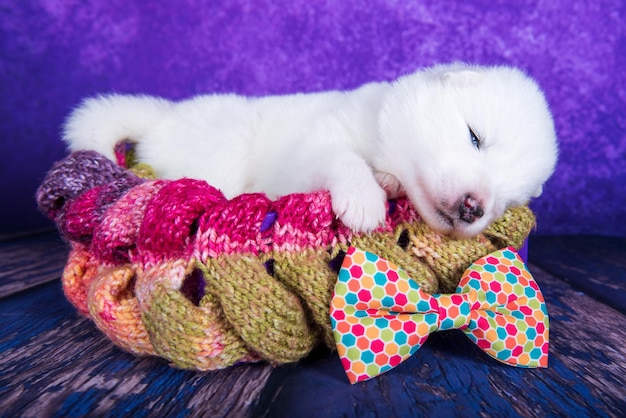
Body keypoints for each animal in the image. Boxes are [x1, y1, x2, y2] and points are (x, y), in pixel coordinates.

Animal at [62, 63, 556, 237]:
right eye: (474, 136)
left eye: (508, 200)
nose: (475, 207)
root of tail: (162, 117)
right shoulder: (308, 149)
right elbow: (342, 158)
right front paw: (365, 199)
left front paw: (386, 183)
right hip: (226, 140)